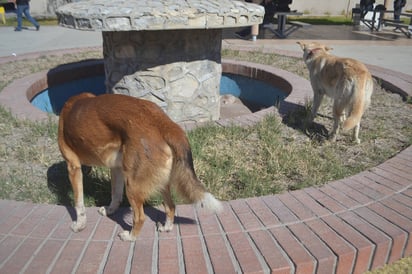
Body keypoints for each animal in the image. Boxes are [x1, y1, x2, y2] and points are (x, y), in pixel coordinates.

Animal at [58, 93, 222, 241]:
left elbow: (78, 203)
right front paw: (110, 210)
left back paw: (130, 237)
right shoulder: (116, 168)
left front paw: (79, 225)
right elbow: (115, 194)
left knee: (140, 217)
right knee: (171, 206)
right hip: (160, 181)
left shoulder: (73, 167)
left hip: (132, 185)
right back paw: (166, 227)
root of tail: (163, 121)